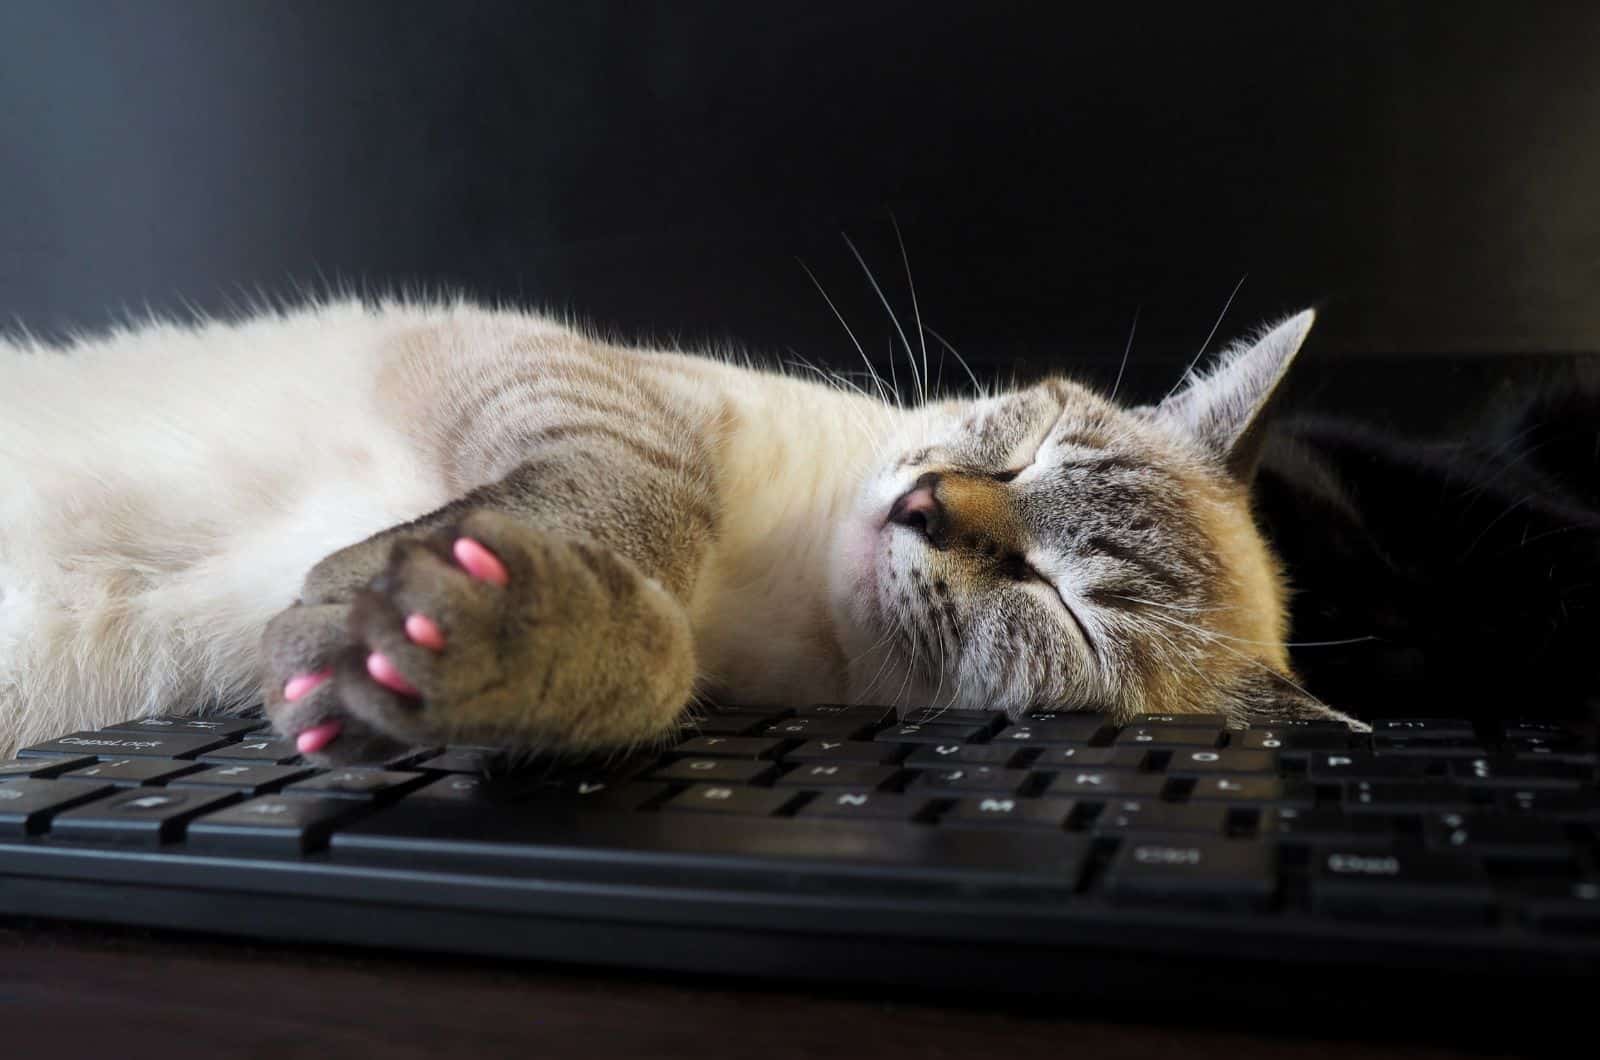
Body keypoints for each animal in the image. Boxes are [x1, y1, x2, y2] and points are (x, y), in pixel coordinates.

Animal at [0, 301, 1363, 765]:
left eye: (1065, 606)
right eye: (1017, 449)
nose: (927, 504)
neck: (778, 599)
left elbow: (658, 664)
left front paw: (456, 642)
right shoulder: (547, 364)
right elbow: (657, 500)